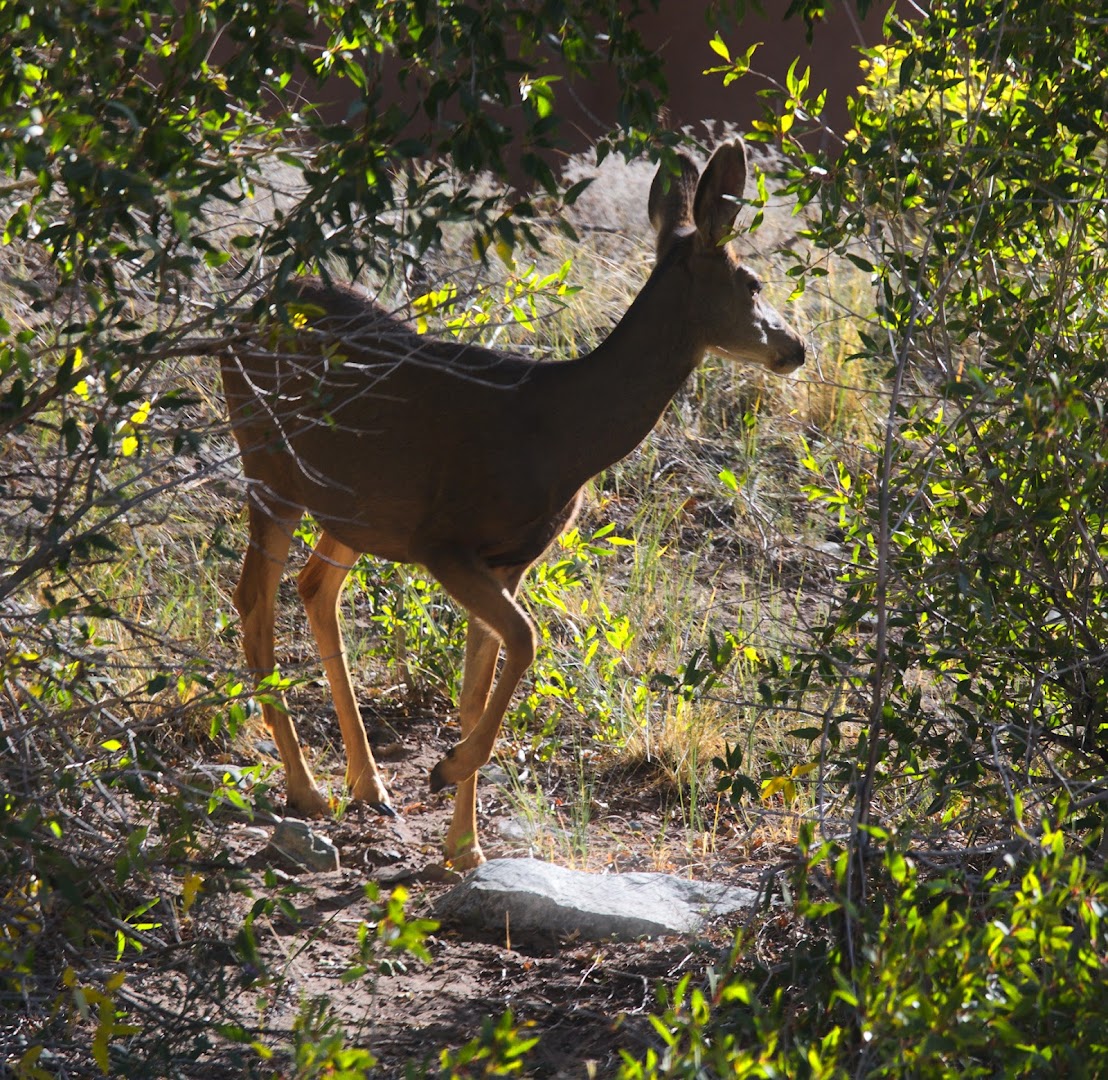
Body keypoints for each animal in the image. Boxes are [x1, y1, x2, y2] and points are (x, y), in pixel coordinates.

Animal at [220, 141, 806, 868]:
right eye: (751, 282)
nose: (796, 346)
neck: (557, 433)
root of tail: (241, 320)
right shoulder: (444, 541)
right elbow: (525, 640)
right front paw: (445, 771)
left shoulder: (509, 561)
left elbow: (478, 688)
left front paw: (464, 846)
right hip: (269, 464)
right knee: (254, 598)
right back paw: (307, 791)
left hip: (353, 506)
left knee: (313, 587)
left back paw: (369, 786)